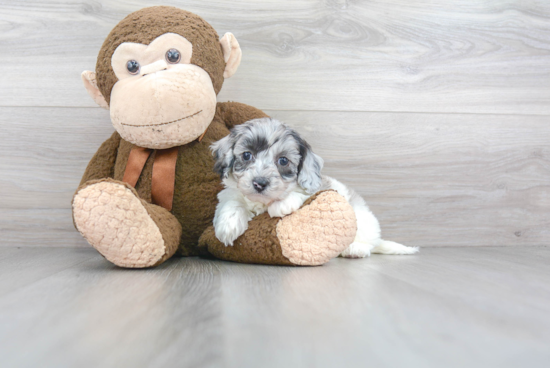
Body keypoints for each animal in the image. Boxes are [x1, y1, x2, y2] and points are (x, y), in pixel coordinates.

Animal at [211, 119, 418, 258]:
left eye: (283, 160)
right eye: (247, 155)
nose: (259, 183)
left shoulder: (319, 189)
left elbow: (300, 194)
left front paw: (282, 204)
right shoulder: (230, 193)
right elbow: (233, 200)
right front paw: (228, 225)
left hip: (363, 220)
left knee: (367, 243)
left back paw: (354, 249)